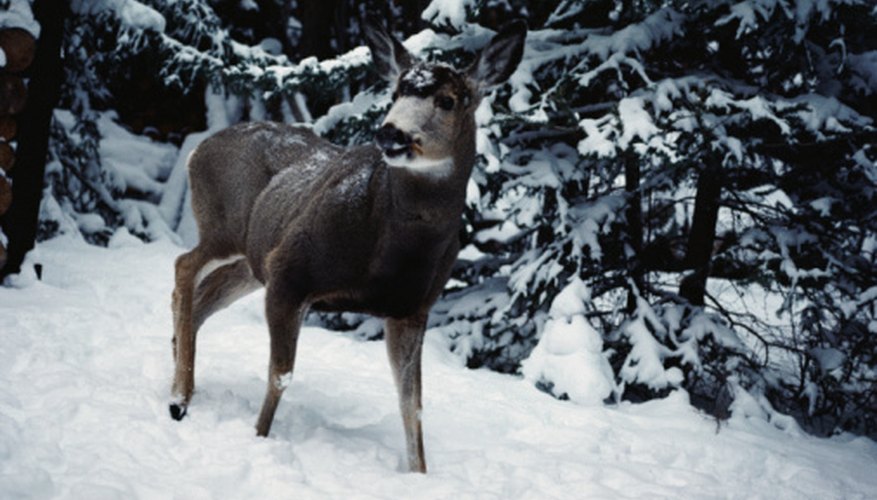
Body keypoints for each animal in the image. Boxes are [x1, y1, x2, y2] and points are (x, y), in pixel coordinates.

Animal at [171, 20, 528, 472]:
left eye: (447, 100)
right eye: (394, 92)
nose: (390, 132)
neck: (390, 251)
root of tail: (198, 149)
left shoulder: (412, 309)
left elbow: (412, 404)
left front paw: (420, 474)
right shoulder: (290, 271)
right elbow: (281, 373)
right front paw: (259, 438)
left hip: (252, 260)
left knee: (202, 297)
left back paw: (180, 382)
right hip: (223, 228)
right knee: (184, 265)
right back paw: (178, 399)